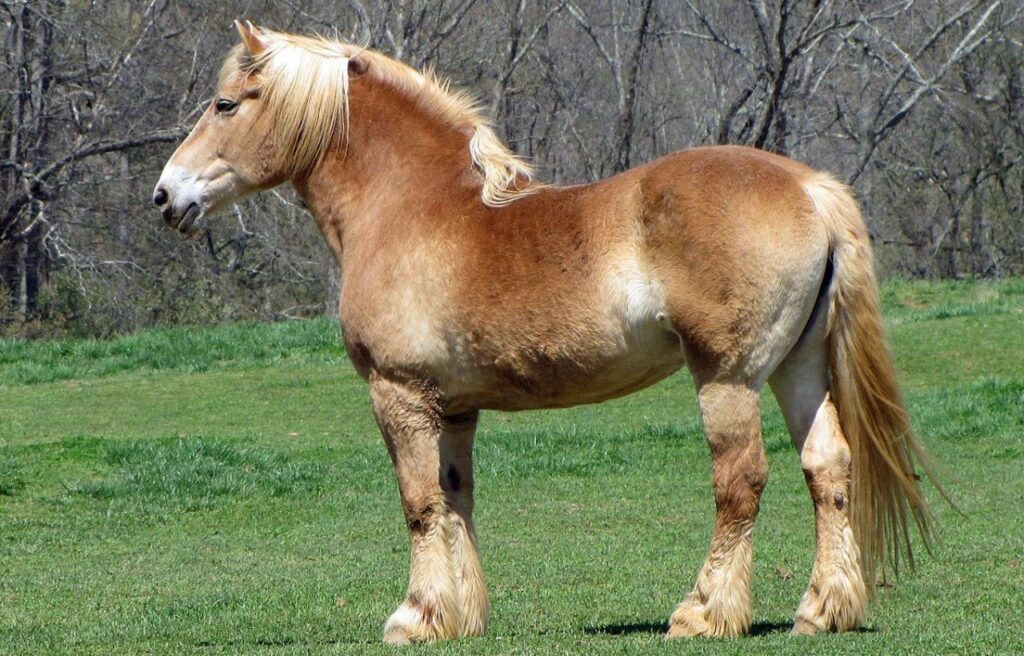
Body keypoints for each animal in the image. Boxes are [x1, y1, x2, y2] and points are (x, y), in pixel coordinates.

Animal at [153, 21, 938, 644]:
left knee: (739, 483)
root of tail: (810, 188)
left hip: (728, 377)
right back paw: (822, 610)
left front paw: (415, 617)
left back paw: (703, 613)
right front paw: (460, 617)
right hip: (796, 368)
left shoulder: (398, 394)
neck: (412, 204)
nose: (165, 196)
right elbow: (456, 499)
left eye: (225, 104)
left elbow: (418, 504)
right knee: (827, 469)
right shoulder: (453, 408)